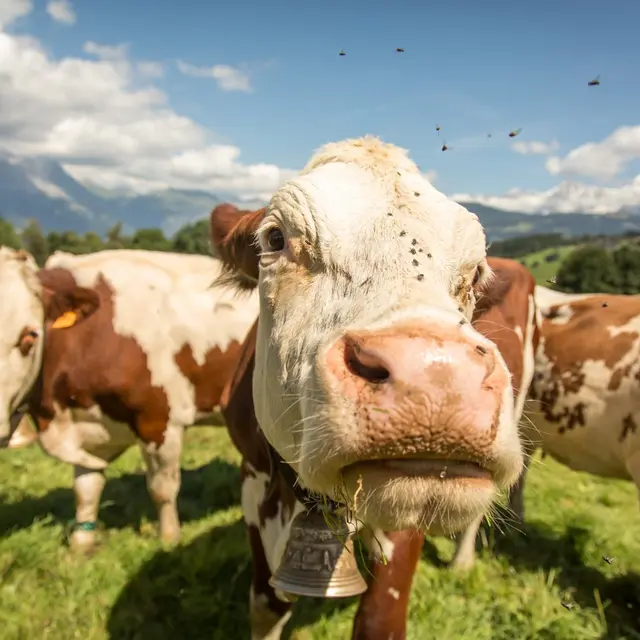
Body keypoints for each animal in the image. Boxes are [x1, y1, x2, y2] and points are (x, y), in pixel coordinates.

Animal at [0, 246, 259, 553]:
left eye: (28, 337)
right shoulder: (90, 422)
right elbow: (86, 488)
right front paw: (81, 544)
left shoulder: (158, 419)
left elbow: (161, 488)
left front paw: (168, 539)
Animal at [211, 134, 526, 638]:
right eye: (276, 238)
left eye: (476, 273)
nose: (436, 375)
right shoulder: (254, 482)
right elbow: (265, 605)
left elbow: (380, 617)